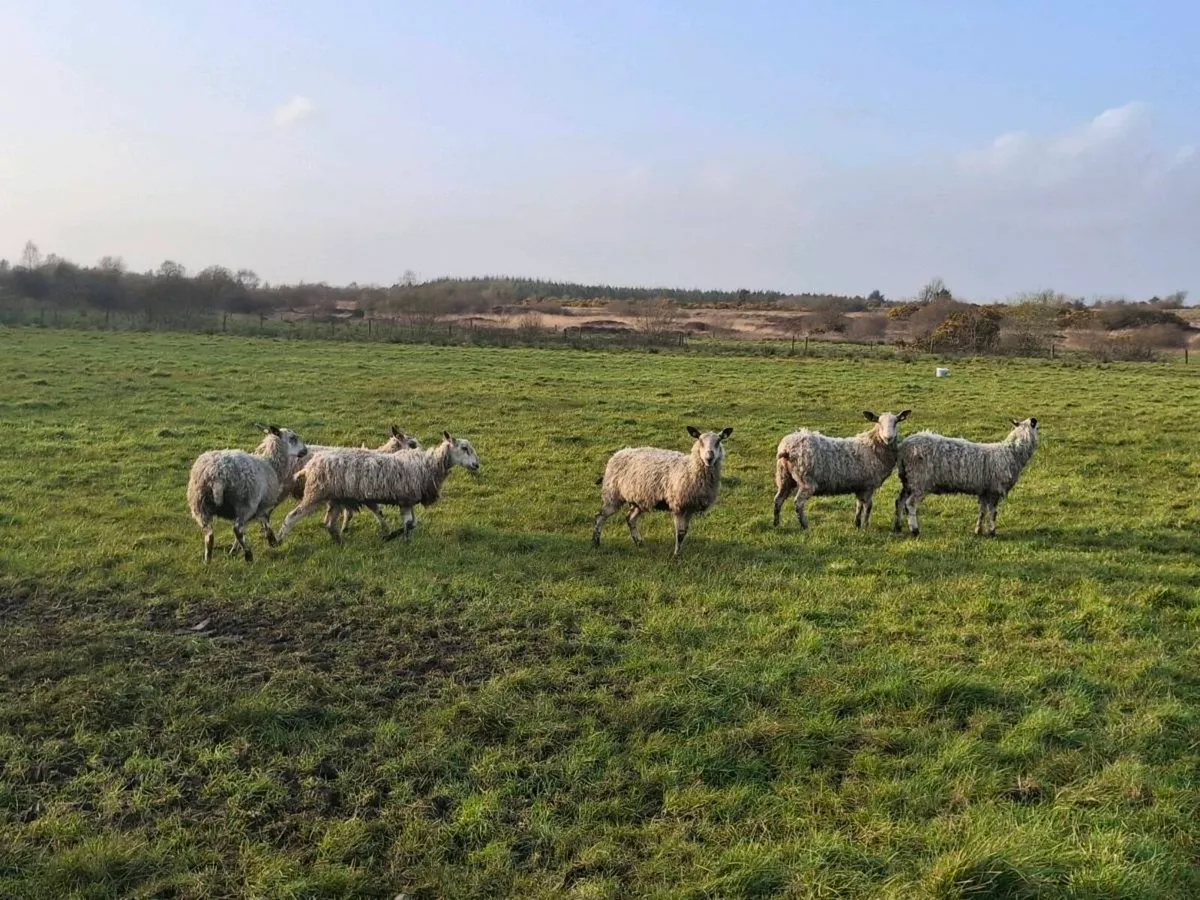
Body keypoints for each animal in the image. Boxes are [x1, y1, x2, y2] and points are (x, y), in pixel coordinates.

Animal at [187, 424, 309, 563]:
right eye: (293, 438)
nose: (305, 450)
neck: (271, 463)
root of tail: (216, 474)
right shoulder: (263, 506)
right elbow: (265, 523)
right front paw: (272, 541)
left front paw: (235, 550)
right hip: (245, 503)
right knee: (237, 529)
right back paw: (248, 555)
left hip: (200, 505)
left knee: (209, 535)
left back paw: (208, 560)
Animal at [277, 431, 480, 545]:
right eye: (464, 448)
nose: (476, 465)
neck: (428, 464)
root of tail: (310, 464)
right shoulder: (404, 499)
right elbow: (407, 523)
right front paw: (400, 540)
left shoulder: (409, 500)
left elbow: (413, 523)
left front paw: (398, 537)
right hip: (315, 493)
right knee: (292, 516)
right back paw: (278, 540)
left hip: (335, 498)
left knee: (328, 522)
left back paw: (339, 541)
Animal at [592, 426, 733, 557]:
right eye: (700, 441)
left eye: (719, 441)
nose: (709, 458)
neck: (689, 469)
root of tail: (618, 453)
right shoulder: (678, 506)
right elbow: (680, 533)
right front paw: (676, 555)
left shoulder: (690, 508)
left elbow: (685, 532)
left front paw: (679, 552)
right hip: (612, 495)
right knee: (600, 516)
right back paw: (595, 542)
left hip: (640, 499)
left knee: (630, 519)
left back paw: (639, 543)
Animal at [773, 410, 912, 530]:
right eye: (879, 423)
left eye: (896, 422)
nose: (888, 438)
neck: (873, 447)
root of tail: (786, 449)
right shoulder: (868, 486)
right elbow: (868, 507)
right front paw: (866, 526)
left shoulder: (860, 486)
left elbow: (859, 505)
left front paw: (857, 524)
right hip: (805, 480)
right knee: (798, 503)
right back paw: (805, 526)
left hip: (784, 477)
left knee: (778, 499)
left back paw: (776, 524)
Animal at [892, 417, 1039, 537]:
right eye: (1035, 426)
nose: (1035, 420)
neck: (1011, 453)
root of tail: (903, 447)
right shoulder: (994, 490)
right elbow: (993, 513)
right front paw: (992, 532)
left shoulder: (984, 491)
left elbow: (982, 511)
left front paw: (978, 530)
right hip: (920, 480)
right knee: (910, 504)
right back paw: (915, 530)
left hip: (908, 480)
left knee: (899, 501)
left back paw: (897, 527)